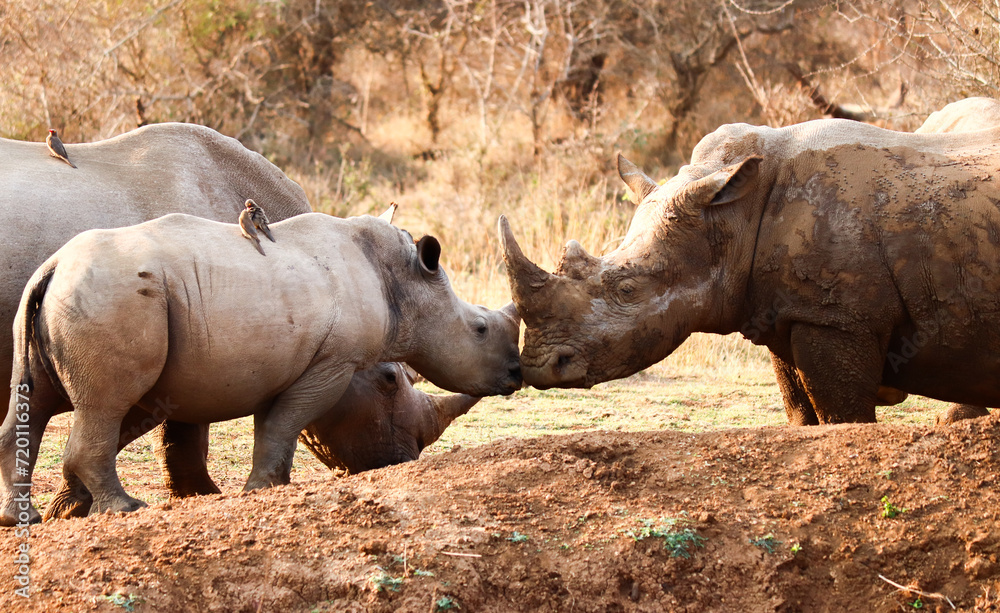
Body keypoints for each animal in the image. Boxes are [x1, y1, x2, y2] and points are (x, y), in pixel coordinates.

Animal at [500, 118, 1000, 424]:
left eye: (627, 289)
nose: (539, 367)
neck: (732, 218)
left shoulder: (838, 318)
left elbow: (842, 419)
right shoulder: (790, 312)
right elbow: (802, 415)